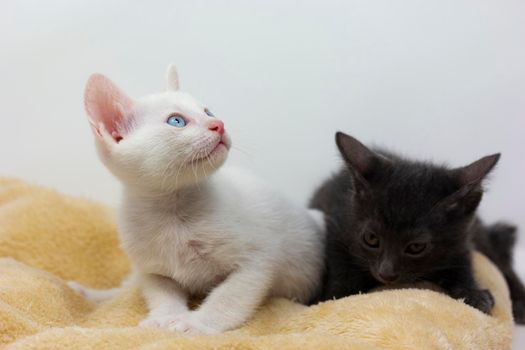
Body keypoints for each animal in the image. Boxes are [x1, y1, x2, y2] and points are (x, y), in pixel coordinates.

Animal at [69, 64, 324, 334]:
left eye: (208, 111)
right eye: (176, 120)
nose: (219, 124)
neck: (172, 210)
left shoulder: (256, 261)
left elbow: (228, 298)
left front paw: (196, 323)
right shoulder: (152, 269)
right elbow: (161, 293)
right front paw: (165, 317)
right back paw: (91, 294)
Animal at [312, 133, 524, 318]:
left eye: (416, 247)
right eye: (371, 239)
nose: (386, 272)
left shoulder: (462, 239)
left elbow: (462, 262)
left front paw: (472, 292)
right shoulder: (337, 223)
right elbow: (340, 265)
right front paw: (334, 296)